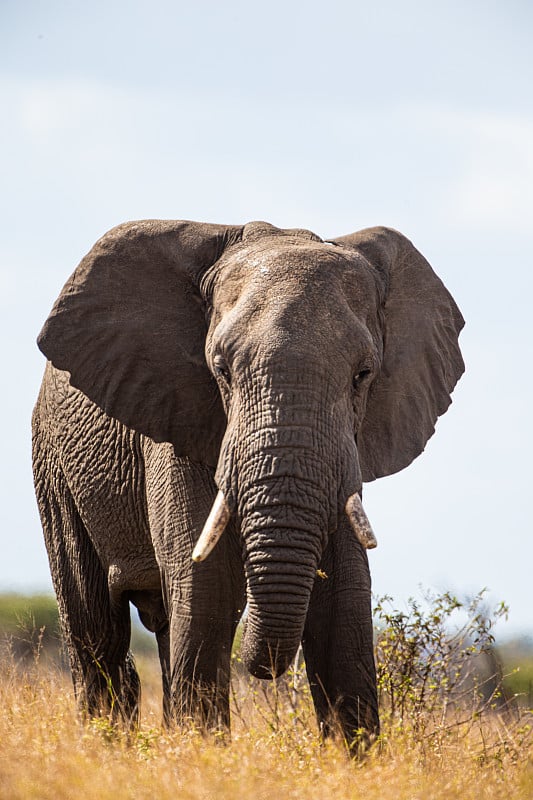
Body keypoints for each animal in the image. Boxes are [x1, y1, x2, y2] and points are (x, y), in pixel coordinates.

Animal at [32, 216, 462, 748]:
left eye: (363, 375)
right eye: (220, 370)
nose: (263, 671)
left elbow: (344, 604)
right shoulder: (177, 418)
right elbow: (209, 589)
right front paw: (201, 754)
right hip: (54, 465)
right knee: (97, 630)